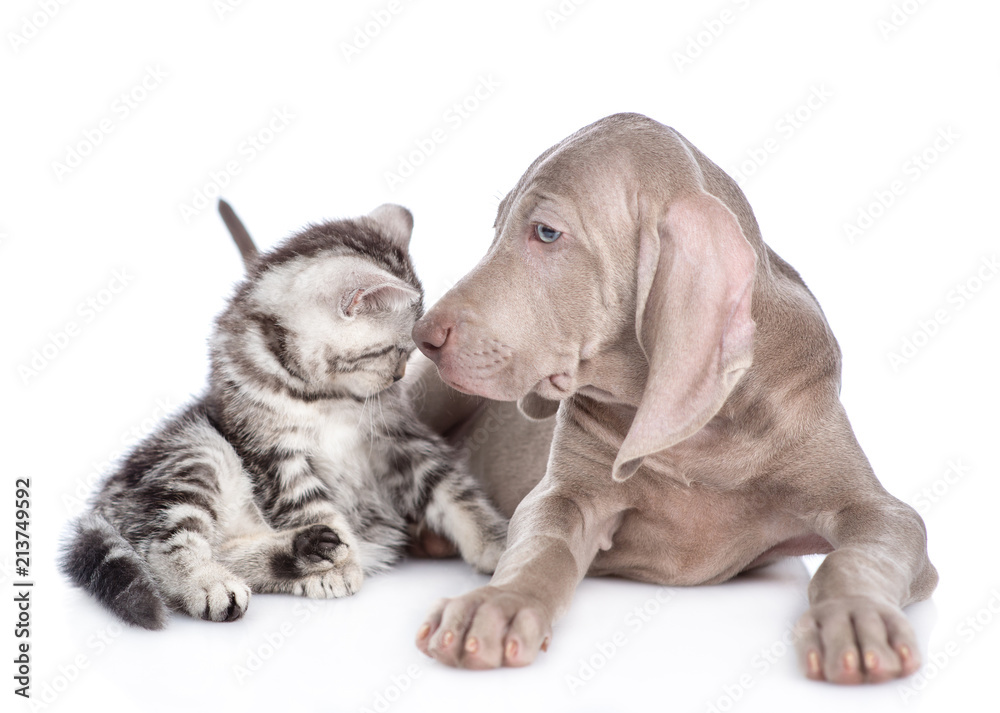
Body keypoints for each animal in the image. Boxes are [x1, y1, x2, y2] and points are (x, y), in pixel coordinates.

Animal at [60, 202, 508, 628]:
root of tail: (102, 501)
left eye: (409, 355)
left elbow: (453, 492)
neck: (323, 394)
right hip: (194, 456)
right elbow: (311, 503)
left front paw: (497, 542)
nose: (397, 377)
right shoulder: (274, 454)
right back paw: (217, 582)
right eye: (395, 351)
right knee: (166, 544)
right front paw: (345, 565)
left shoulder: (401, 440)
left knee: (227, 548)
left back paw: (304, 552)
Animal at [408, 112, 936, 684]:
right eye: (496, 228)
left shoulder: (878, 510)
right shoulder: (564, 494)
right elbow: (538, 546)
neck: (701, 439)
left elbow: (855, 557)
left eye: (546, 232)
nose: (421, 335)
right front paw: (498, 603)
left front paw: (856, 617)